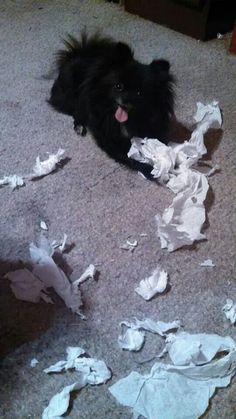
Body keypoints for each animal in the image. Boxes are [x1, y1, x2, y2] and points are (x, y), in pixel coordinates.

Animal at [48, 32, 173, 177]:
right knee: (76, 111)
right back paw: (79, 126)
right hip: (71, 97)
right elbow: (127, 157)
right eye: (118, 86)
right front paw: (149, 169)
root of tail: (76, 55)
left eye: (139, 93)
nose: (126, 100)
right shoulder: (109, 139)